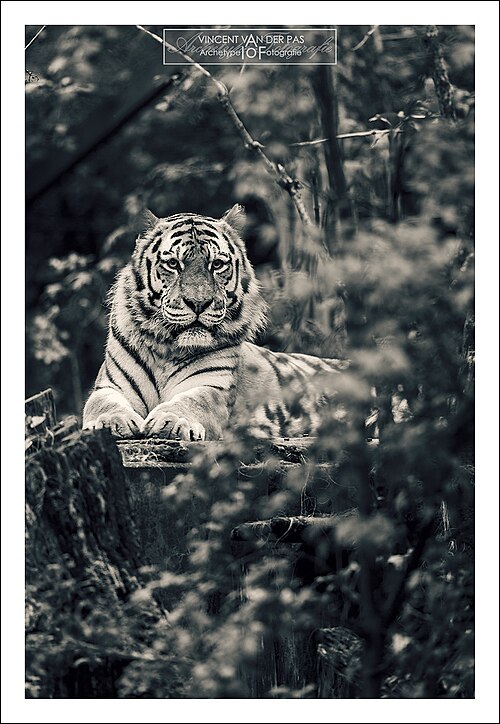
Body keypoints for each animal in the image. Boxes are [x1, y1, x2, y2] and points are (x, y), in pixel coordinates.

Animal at [82, 205, 346, 440]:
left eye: (217, 264)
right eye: (173, 264)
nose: (199, 303)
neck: (166, 351)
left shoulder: (210, 386)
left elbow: (191, 401)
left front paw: (171, 421)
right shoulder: (110, 386)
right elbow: (102, 404)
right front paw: (111, 422)